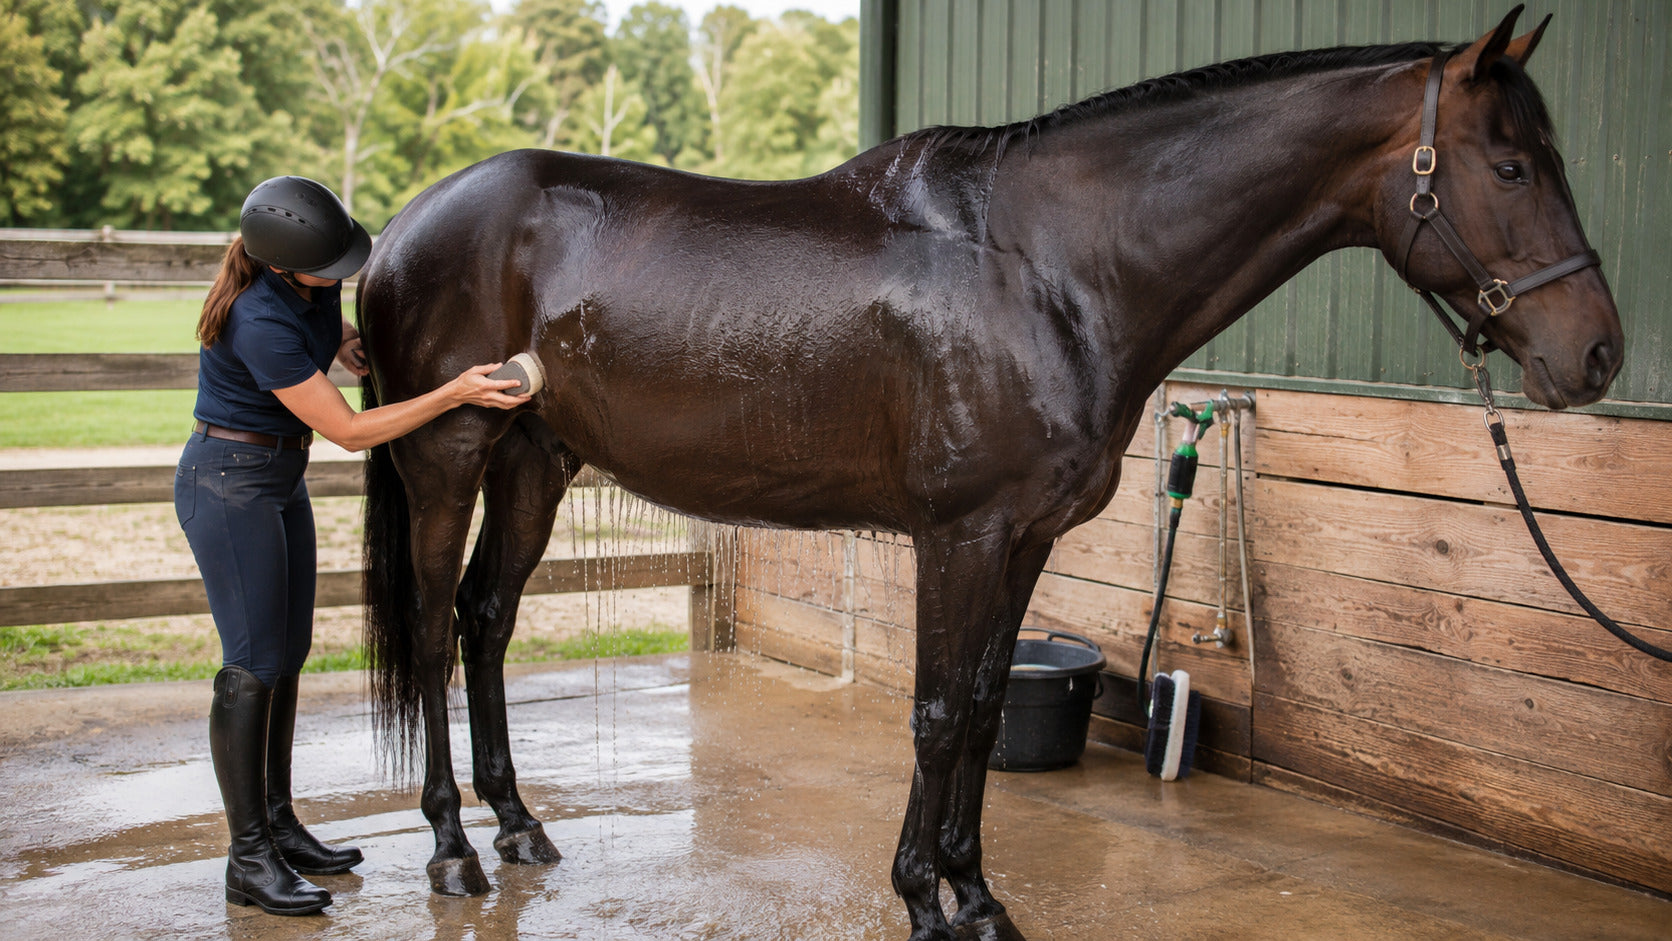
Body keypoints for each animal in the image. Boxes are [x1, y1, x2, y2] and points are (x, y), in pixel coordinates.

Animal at [356, 8, 1620, 939]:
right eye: (1511, 164)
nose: (1598, 354)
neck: (1048, 266)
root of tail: (404, 227)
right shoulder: (958, 533)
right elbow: (931, 711)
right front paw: (925, 900)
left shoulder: (1021, 536)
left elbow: (973, 708)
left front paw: (976, 892)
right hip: (447, 455)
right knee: (430, 628)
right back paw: (453, 849)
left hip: (535, 456)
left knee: (486, 618)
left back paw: (519, 824)